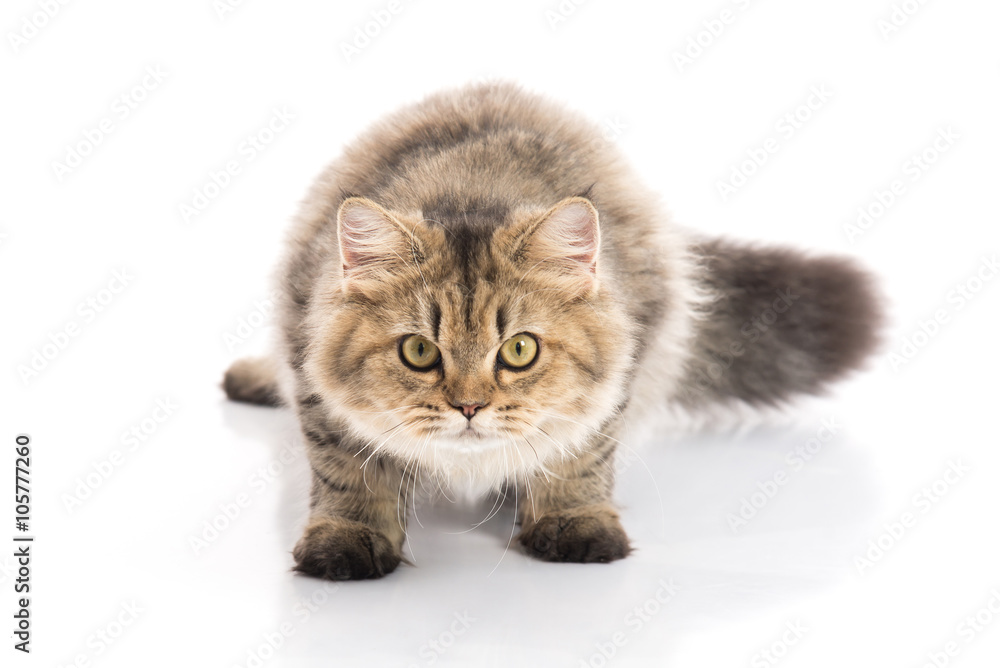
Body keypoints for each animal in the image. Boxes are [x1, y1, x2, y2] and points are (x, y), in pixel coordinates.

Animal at [223, 79, 880, 580]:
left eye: (519, 350)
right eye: (418, 351)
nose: (468, 407)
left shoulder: (626, 363)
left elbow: (578, 456)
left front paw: (572, 521)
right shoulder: (308, 359)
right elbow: (348, 472)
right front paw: (347, 539)